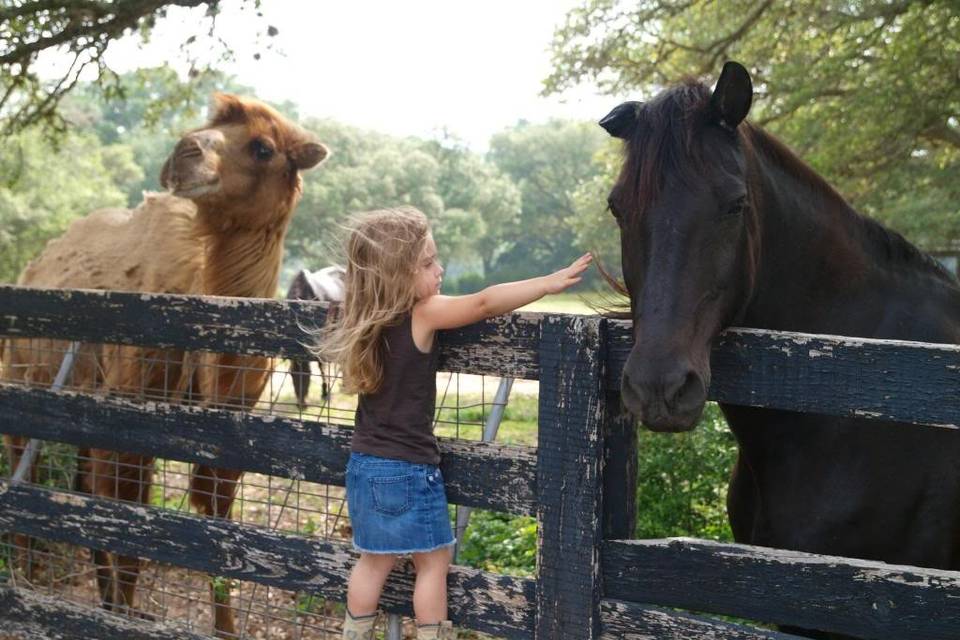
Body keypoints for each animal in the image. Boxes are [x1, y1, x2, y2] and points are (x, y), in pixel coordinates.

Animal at [1, 92, 328, 636]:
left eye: (262, 147)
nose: (184, 150)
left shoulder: (229, 439)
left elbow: (217, 534)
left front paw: (221, 627)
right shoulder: (132, 417)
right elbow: (132, 533)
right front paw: (121, 614)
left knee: (82, 488)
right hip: (24, 385)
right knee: (28, 477)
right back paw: (28, 582)